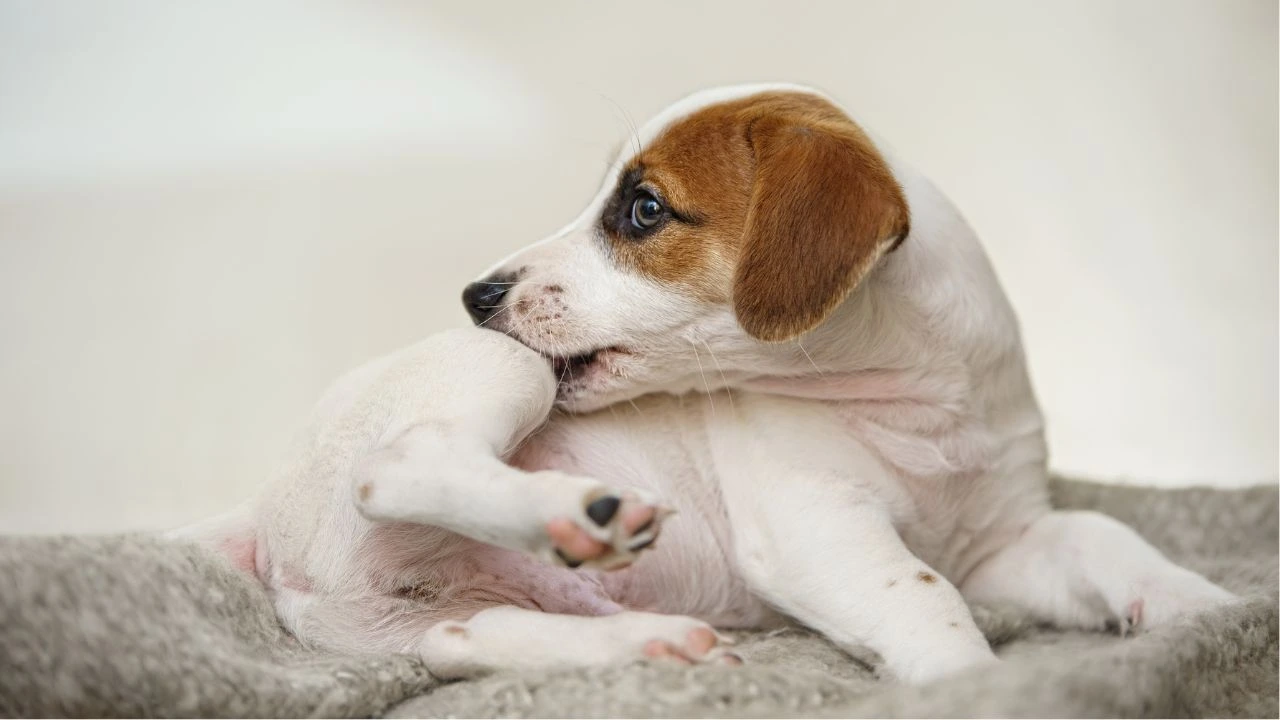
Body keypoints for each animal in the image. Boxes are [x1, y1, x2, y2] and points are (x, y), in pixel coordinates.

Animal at [175, 82, 1233, 676]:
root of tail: (264, 510)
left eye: (644, 209)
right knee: (399, 464)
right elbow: (925, 596)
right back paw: (578, 514)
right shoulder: (816, 529)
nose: (477, 294)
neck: (919, 405)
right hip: (499, 374)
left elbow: (1105, 536)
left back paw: (644, 644)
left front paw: (1208, 610)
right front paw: (975, 687)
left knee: (461, 645)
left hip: (420, 618)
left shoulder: (1003, 542)